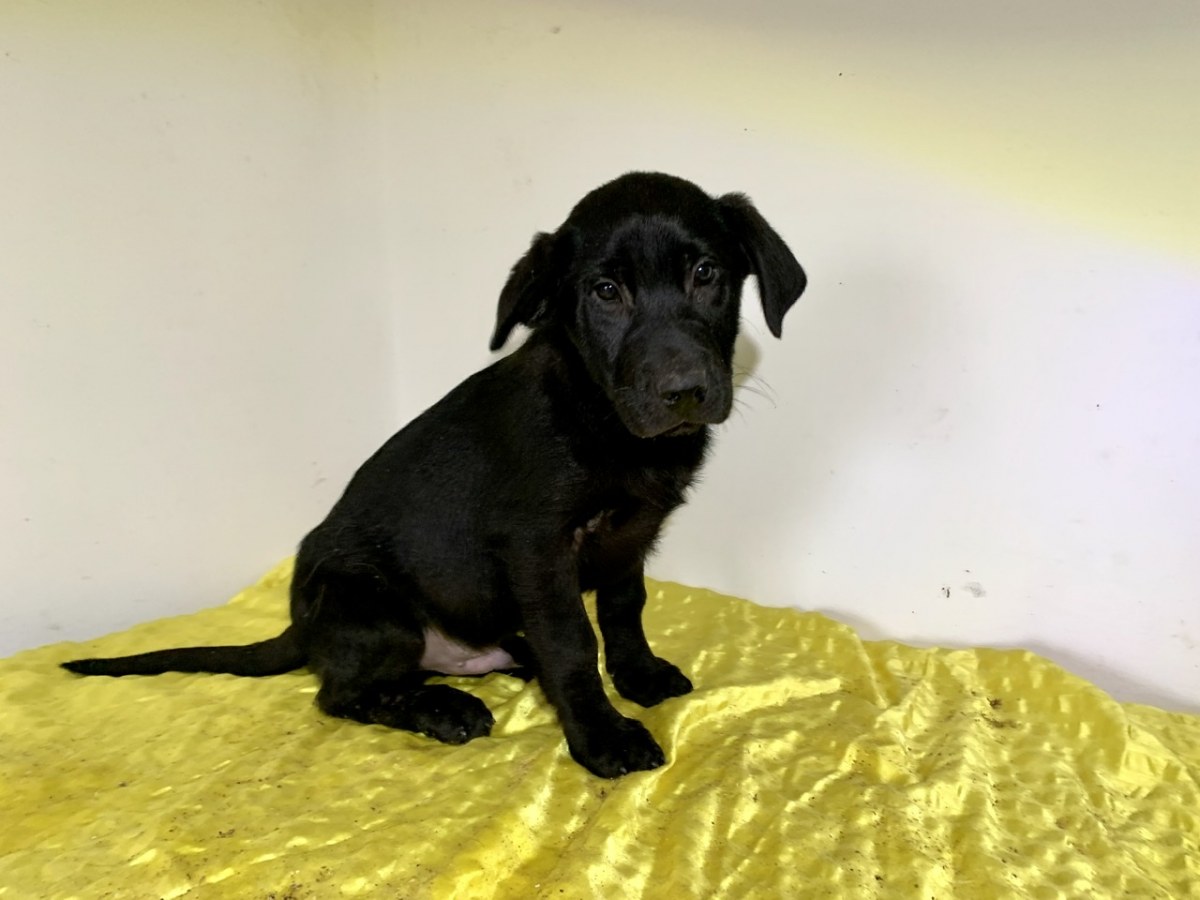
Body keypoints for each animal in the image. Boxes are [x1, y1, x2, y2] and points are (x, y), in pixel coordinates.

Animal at [63, 172, 807, 778]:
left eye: (706, 274)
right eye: (605, 291)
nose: (683, 392)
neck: (601, 417)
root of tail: (301, 629)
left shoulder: (632, 535)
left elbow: (623, 610)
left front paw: (638, 676)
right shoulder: (538, 547)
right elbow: (573, 641)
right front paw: (601, 736)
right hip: (376, 610)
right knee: (341, 694)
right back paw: (442, 709)